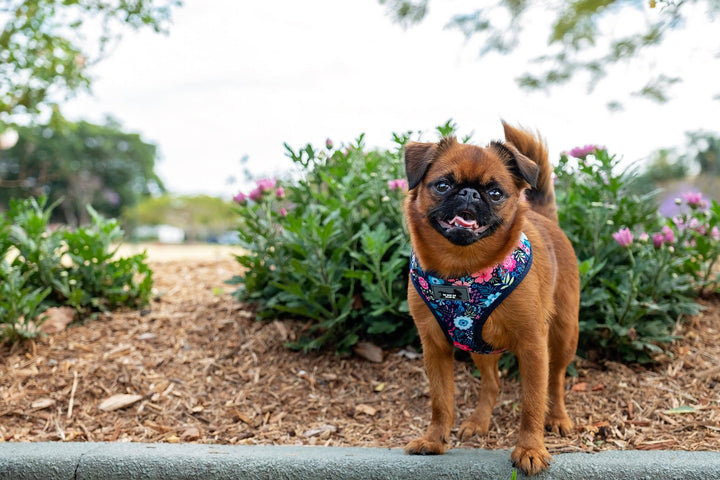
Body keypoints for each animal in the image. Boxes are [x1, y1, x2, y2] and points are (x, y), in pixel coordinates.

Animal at [404, 122, 580, 474]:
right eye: (442, 185)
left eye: (495, 192)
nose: (469, 193)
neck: (463, 269)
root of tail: (546, 219)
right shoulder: (434, 348)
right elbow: (440, 401)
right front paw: (434, 440)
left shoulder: (533, 346)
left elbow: (532, 403)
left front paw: (530, 449)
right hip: (479, 347)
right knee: (492, 382)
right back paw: (479, 421)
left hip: (564, 335)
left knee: (555, 381)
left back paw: (558, 418)